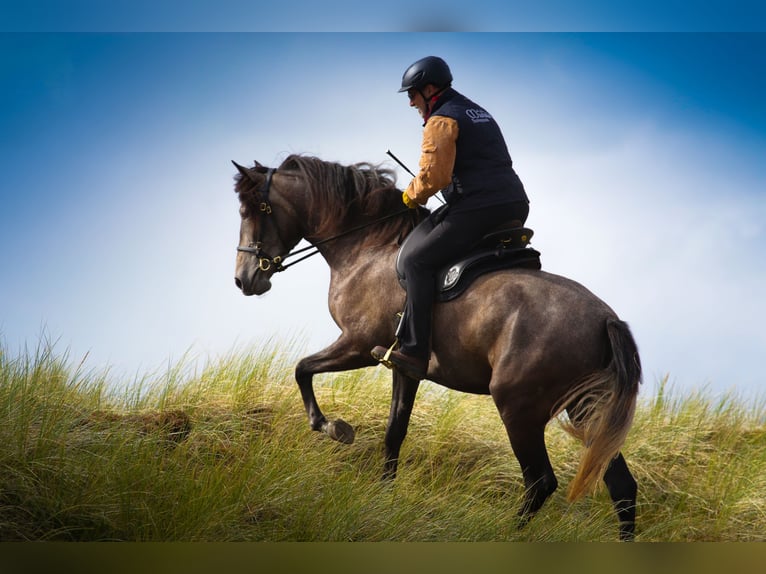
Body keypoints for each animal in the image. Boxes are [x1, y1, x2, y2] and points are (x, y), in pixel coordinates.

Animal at [232, 154, 642, 540]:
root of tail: (606, 319)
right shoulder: (404, 367)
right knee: (621, 487)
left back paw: (505, 535)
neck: (369, 246)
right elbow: (394, 432)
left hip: (520, 409)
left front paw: (332, 427)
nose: (243, 280)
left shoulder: (358, 345)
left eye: (252, 210)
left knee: (540, 481)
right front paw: (382, 498)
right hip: (587, 408)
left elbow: (302, 369)